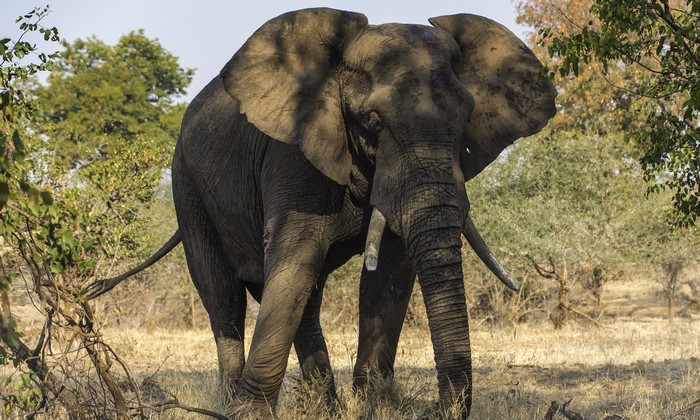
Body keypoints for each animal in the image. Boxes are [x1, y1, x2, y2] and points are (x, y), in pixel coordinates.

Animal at [87, 7, 556, 417]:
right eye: (373, 122)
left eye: (466, 120)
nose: (435, 411)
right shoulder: (293, 156)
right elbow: (296, 258)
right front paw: (249, 415)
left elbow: (388, 276)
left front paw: (374, 408)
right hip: (188, 183)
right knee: (223, 296)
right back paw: (227, 402)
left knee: (301, 296)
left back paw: (323, 407)